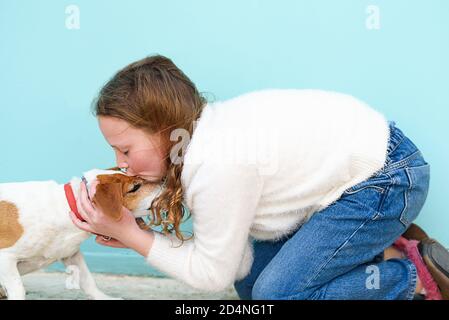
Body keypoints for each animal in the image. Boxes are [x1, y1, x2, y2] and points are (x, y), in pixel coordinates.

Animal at [0, 168, 164, 300]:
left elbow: (88, 281)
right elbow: (18, 289)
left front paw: (104, 297)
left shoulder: (72, 254)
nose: (163, 180)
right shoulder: (5, 258)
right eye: (135, 187)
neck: (65, 209)